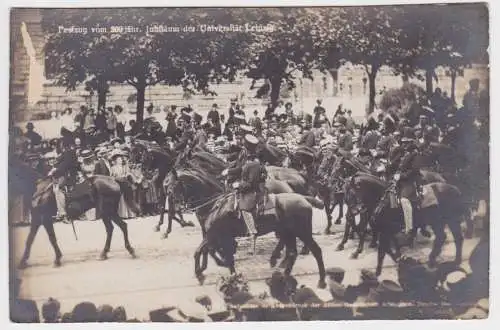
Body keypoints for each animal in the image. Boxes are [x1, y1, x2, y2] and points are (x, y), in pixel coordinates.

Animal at [164, 169, 328, 288]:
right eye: (167, 187)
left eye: (173, 187)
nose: (175, 208)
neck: (215, 204)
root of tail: (304, 198)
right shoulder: (213, 234)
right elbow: (206, 251)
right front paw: (205, 272)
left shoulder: (218, 235)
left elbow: (213, 252)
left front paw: (208, 272)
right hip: (289, 233)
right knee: (292, 252)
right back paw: (283, 274)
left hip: (302, 232)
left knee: (316, 251)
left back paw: (321, 281)